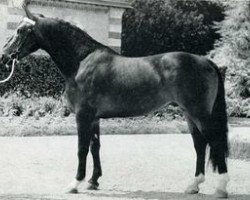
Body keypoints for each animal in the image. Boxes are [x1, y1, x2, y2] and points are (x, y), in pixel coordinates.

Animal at [0, 3, 229, 198]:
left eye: (20, 31)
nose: (4, 56)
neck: (81, 62)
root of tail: (206, 61)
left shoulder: (83, 116)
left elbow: (82, 149)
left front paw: (75, 183)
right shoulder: (94, 118)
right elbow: (95, 147)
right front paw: (93, 181)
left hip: (200, 114)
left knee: (215, 142)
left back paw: (221, 188)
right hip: (190, 114)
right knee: (200, 145)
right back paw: (193, 185)